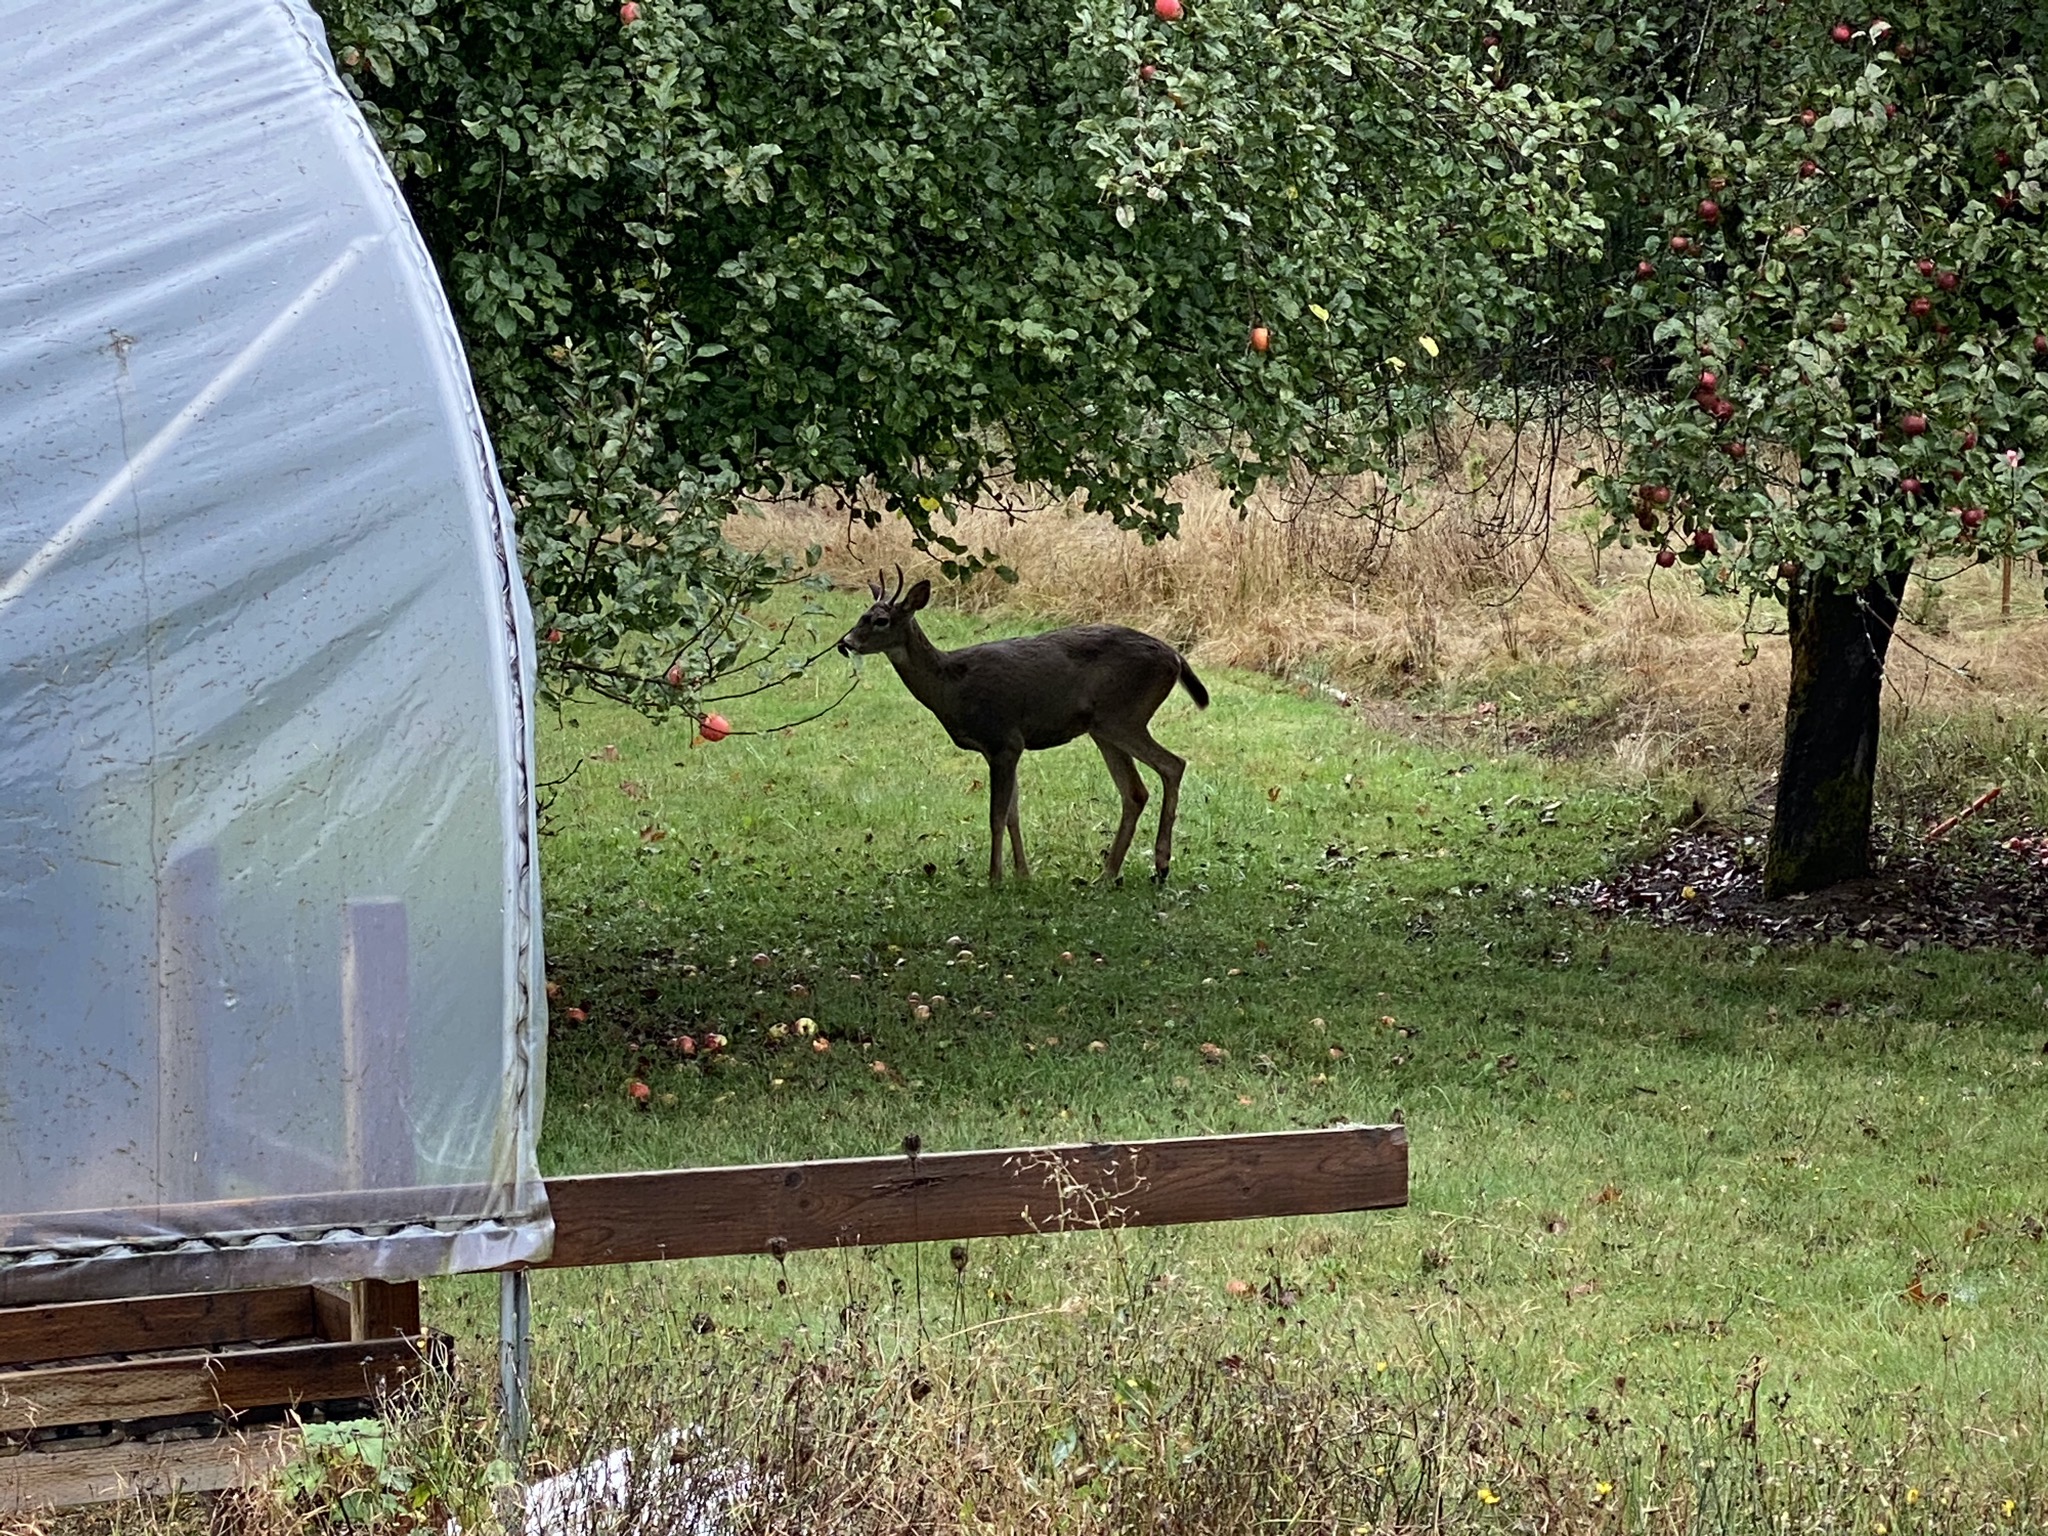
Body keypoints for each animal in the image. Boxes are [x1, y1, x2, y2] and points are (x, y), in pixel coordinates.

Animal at [837, 570, 1208, 885]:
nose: (845, 643)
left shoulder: (1003, 739)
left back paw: (1160, 864)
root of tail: (1175, 658)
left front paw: (994, 878)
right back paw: (1106, 875)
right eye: (861, 615)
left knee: (1173, 764)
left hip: (1123, 716)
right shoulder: (1004, 748)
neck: (951, 686)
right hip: (1103, 728)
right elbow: (1013, 814)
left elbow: (996, 815)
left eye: (881, 620)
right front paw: (1022, 874)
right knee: (1135, 792)